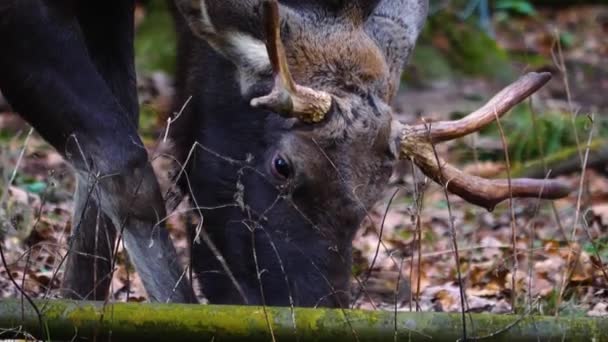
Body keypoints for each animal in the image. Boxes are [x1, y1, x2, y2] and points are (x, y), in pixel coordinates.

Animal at [1, 0, 568, 308]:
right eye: (283, 165)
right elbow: (125, 166)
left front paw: (78, 302)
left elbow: (105, 146)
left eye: (379, 186)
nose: (314, 307)